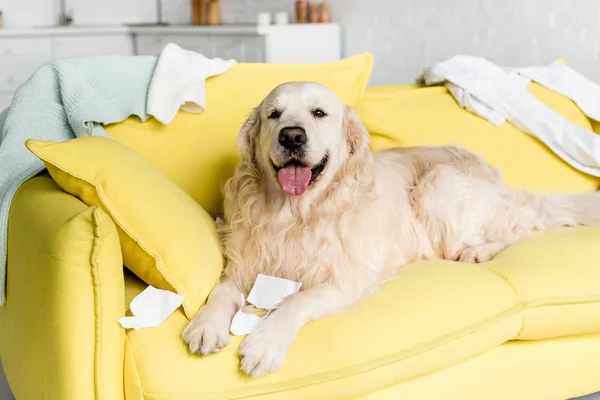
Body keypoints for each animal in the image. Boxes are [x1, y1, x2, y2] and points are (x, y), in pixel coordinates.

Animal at [182, 80, 600, 376]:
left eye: (319, 113)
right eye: (274, 114)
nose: (292, 136)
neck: (294, 215)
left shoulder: (348, 278)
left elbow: (295, 301)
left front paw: (265, 343)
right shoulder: (244, 265)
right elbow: (222, 292)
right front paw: (206, 324)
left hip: (437, 187)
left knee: (519, 227)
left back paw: (479, 250)